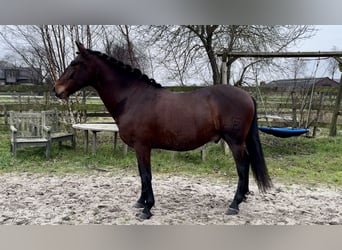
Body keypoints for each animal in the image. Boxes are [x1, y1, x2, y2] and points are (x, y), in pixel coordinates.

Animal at [54, 42, 272, 220]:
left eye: (75, 63)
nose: (57, 90)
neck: (132, 97)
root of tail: (247, 95)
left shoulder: (142, 146)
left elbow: (146, 175)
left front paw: (147, 209)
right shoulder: (139, 148)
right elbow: (142, 174)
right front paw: (140, 202)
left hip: (235, 141)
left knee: (242, 167)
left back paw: (234, 204)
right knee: (247, 164)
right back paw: (242, 198)